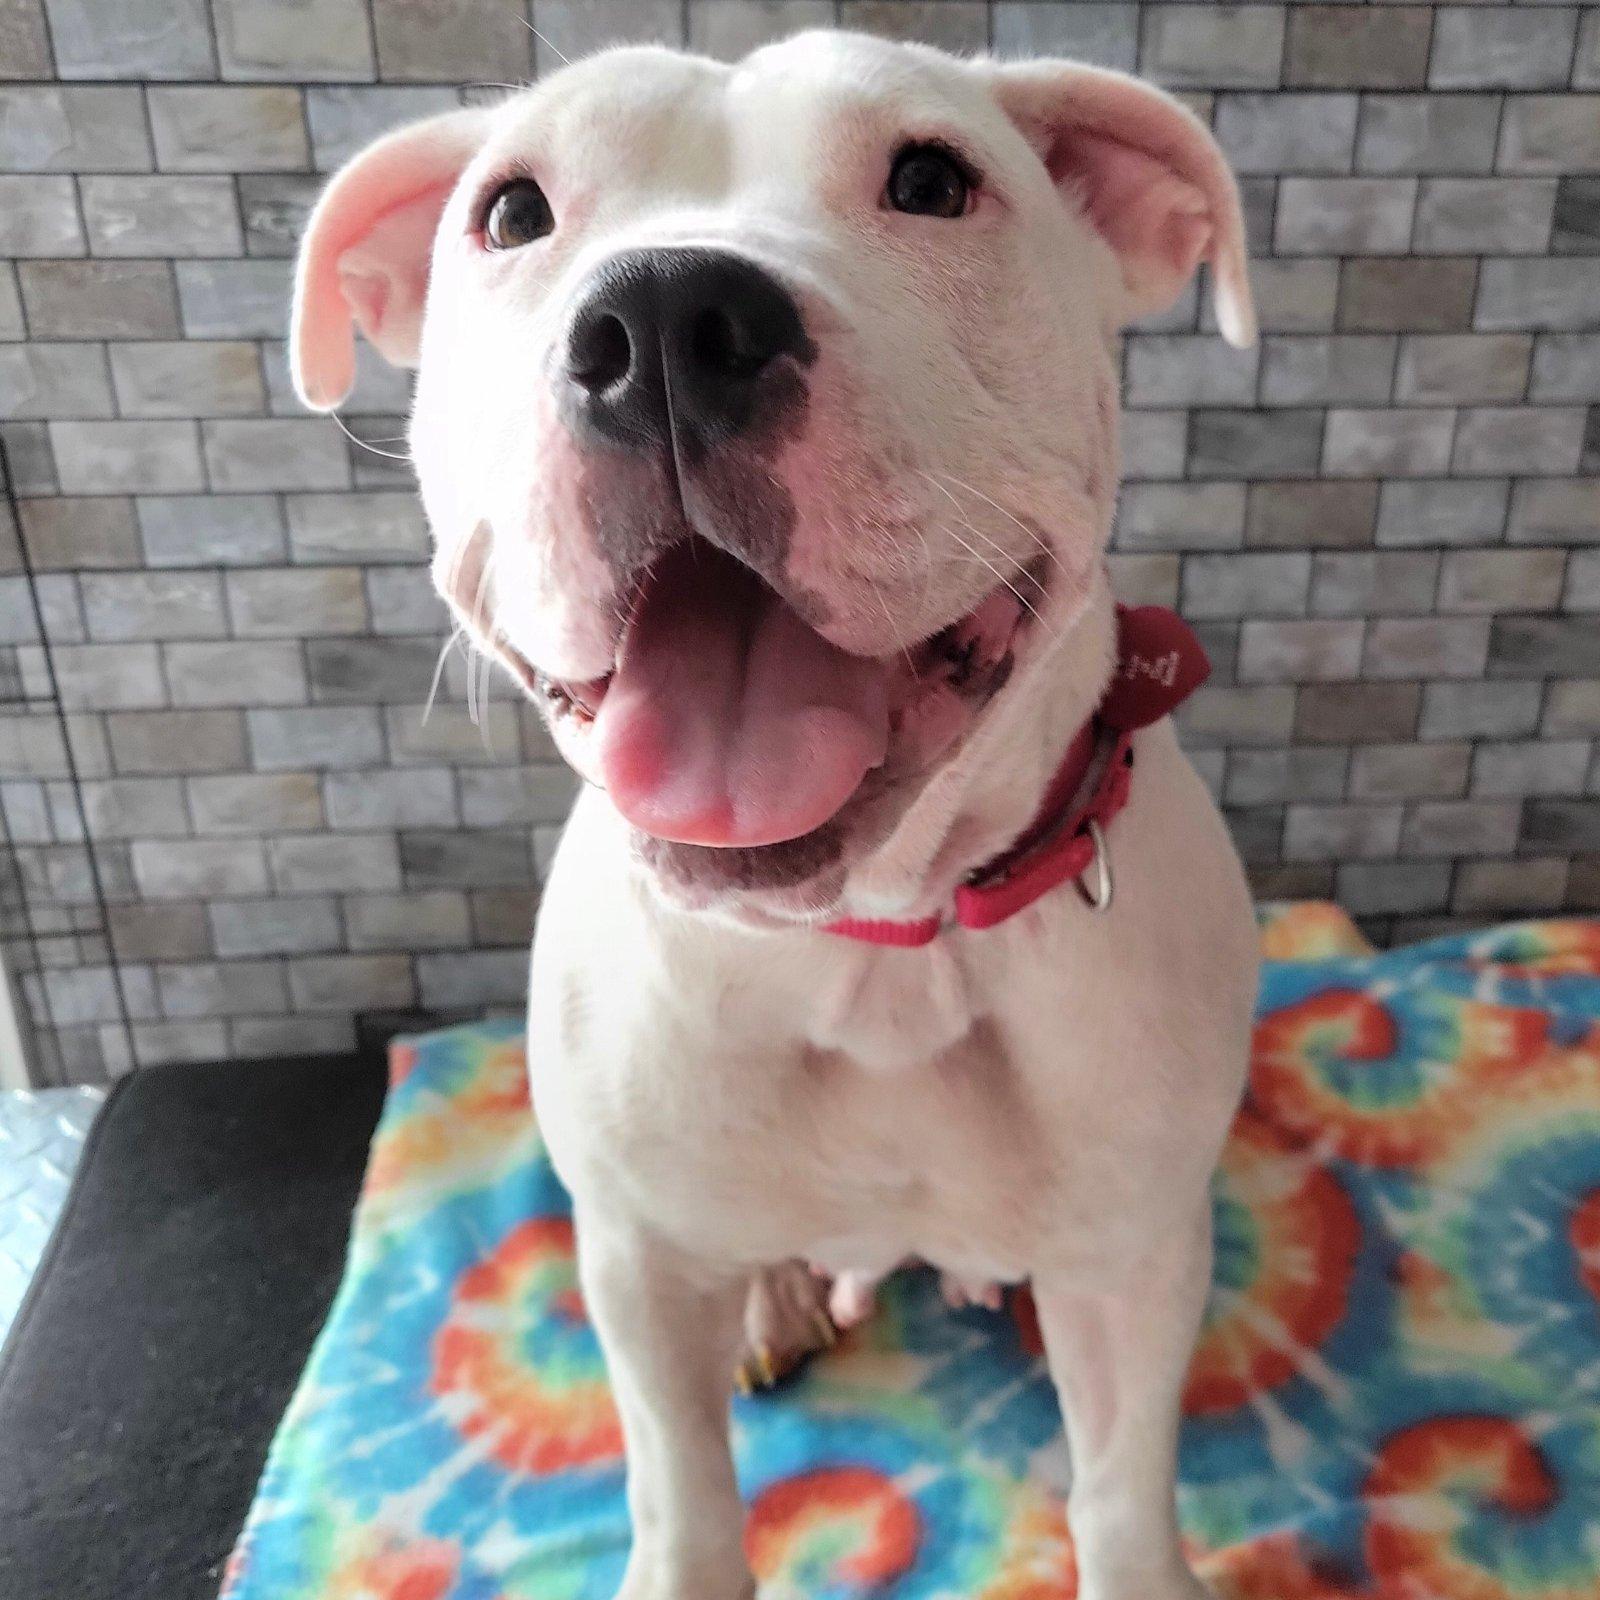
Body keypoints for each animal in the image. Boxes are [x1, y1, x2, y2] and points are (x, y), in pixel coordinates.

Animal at [288, 28, 1260, 1600]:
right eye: (510, 212)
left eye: (932, 181)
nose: (664, 317)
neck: (875, 945)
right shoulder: (631, 1256)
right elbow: (679, 1495)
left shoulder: (1132, 1261)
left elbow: (1119, 1494)